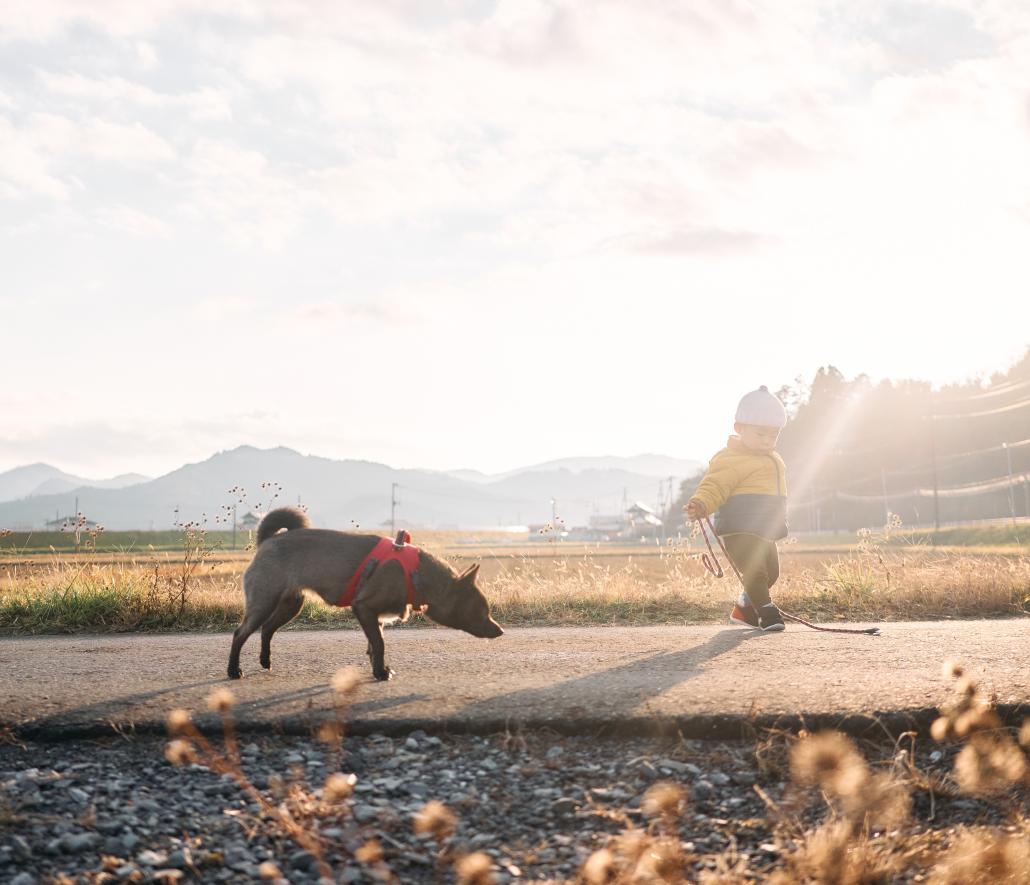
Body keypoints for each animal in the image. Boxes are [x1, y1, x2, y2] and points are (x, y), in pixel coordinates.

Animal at [225, 508, 502, 679]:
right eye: (481, 611)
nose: (500, 630)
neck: (416, 574)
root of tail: (268, 541)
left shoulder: (374, 619)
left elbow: (373, 645)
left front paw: (378, 669)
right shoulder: (365, 609)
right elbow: (379, 644)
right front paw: (380, 674)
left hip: (290, 605)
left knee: (267, 629)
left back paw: (265, 661)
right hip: (264, 602)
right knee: (241, 633)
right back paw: (233, 670)